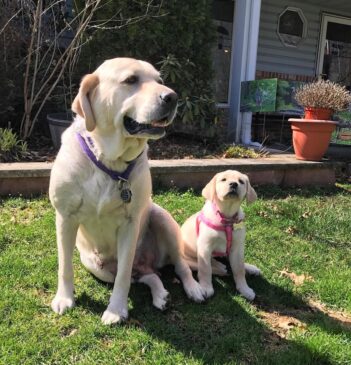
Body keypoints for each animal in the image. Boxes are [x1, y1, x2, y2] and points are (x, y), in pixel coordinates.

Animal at [48, 57, 205, 324]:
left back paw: (193, 288)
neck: (108, 160)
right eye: (131, 80)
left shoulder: (130, 224)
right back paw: (161, 295)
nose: (172, 97)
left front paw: (116, 310)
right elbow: (64, 266)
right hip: (94, 264)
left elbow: (123, 276)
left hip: (162, 220)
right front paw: (65, 298)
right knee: (147, 275)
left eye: (159, 80)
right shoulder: (65, 218)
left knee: (178, 265)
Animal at [182, 169, 262, 300]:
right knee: (213, 265)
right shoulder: (205, 247)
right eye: (223, 179)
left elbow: (239, 269)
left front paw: (244, 289)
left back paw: (251, 268)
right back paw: (219, 266)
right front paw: (206, 288)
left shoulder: (237, 248)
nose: (234, 184)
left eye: (241, 181)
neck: (227, 217)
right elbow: (205, 269)